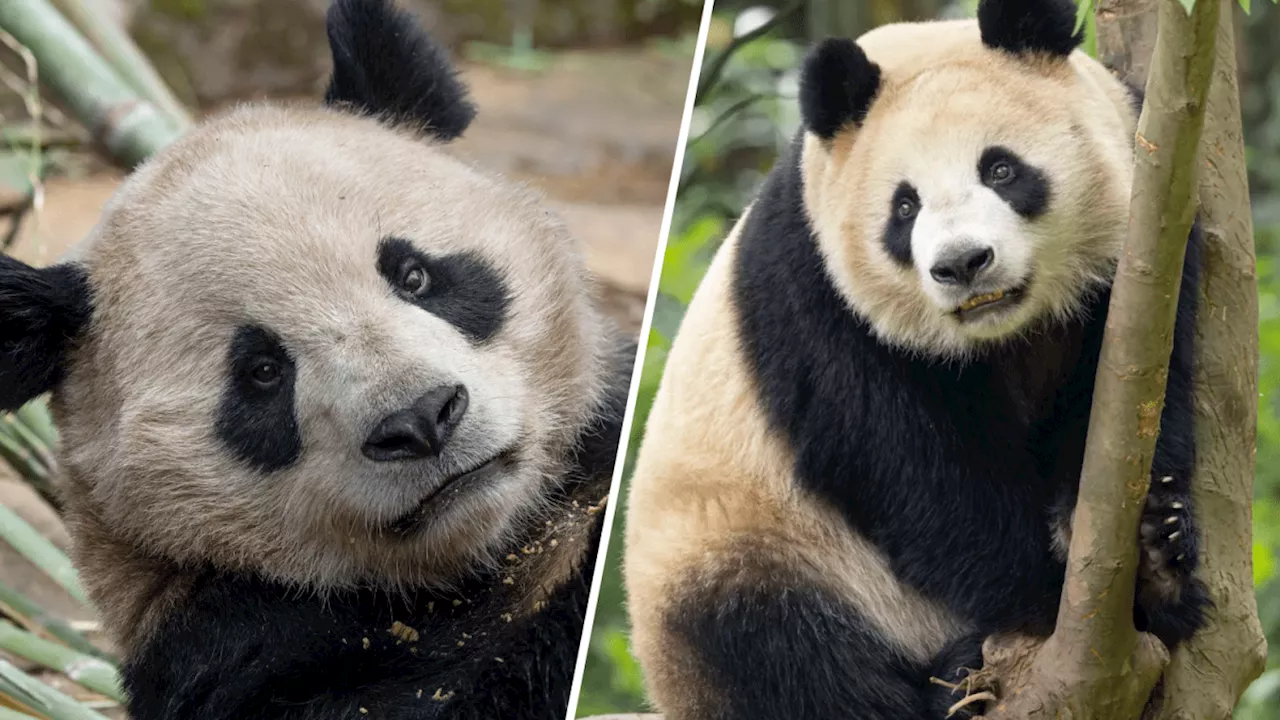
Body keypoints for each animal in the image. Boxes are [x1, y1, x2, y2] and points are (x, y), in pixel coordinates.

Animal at [627, 1, 1208, 717]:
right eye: (904, 207)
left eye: (1000, 169)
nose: (962, 263)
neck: (1004, 332)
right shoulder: (816, 291)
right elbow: (913, 468)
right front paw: (1050, 597)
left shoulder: (1150, 230)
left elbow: (1135, 396)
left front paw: (1152, 559)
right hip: (746, 546)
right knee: (775, 653)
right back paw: (949, 682)